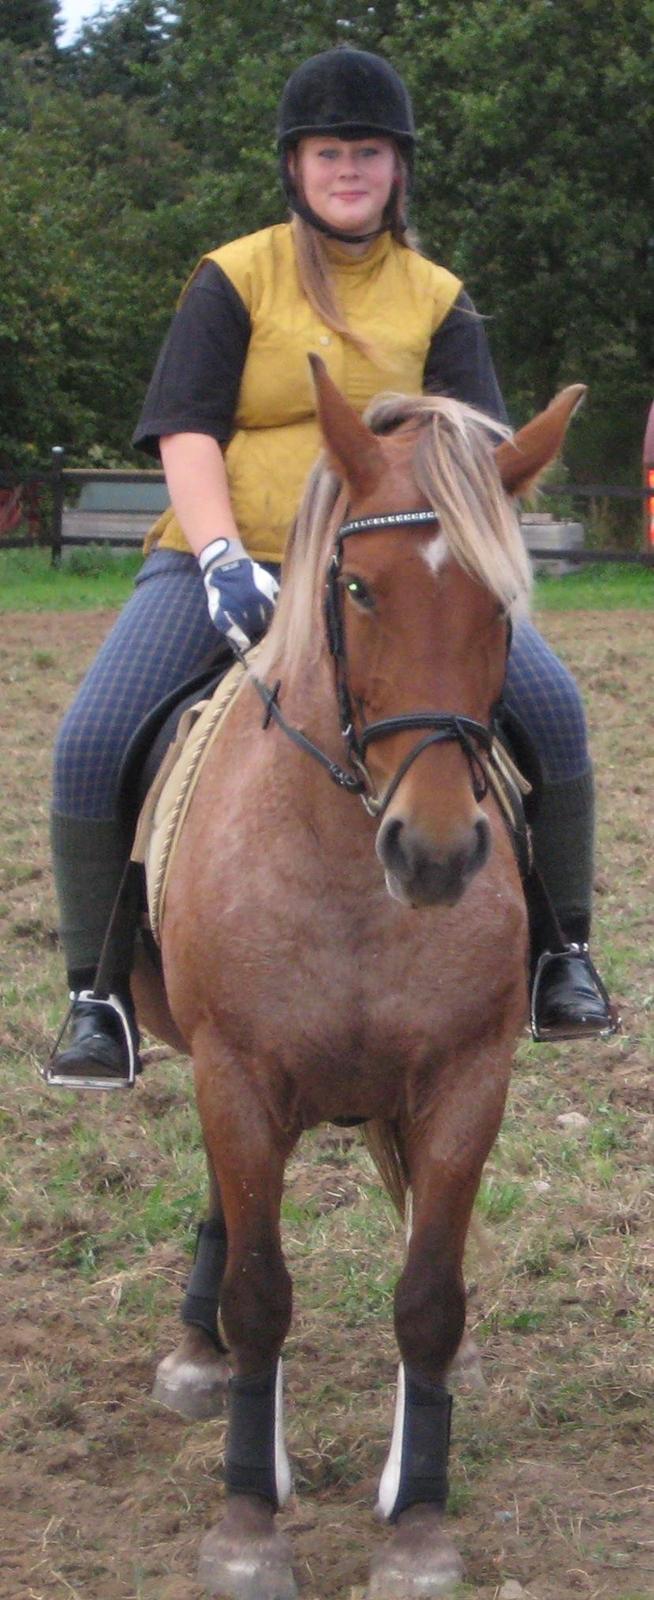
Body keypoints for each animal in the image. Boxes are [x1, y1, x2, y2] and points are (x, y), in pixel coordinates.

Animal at [133, 361, 584, 1599]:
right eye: (357, 587)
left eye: (502, 604)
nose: (432, 854)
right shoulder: (236, 1074)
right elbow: (260, 1290)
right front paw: (248, 1521)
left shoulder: (469, 1080)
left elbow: (428, 1300)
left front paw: (418, 1523)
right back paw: (200, 1358)